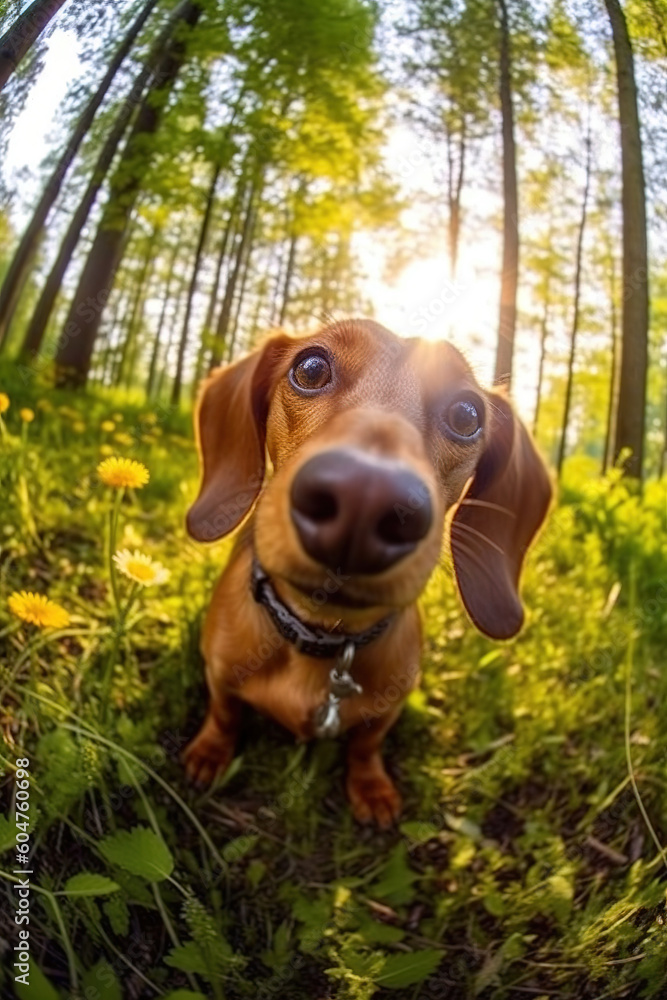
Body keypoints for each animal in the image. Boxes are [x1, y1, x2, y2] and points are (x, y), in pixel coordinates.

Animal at [184, 320, 552, 828]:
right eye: (310, 368)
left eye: (466, 414)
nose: (365, 497)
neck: (324, 635)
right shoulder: (218, 674)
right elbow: (224, 713)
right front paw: (209, 754)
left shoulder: (388, 709)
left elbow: (365, 743)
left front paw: (371, 787)